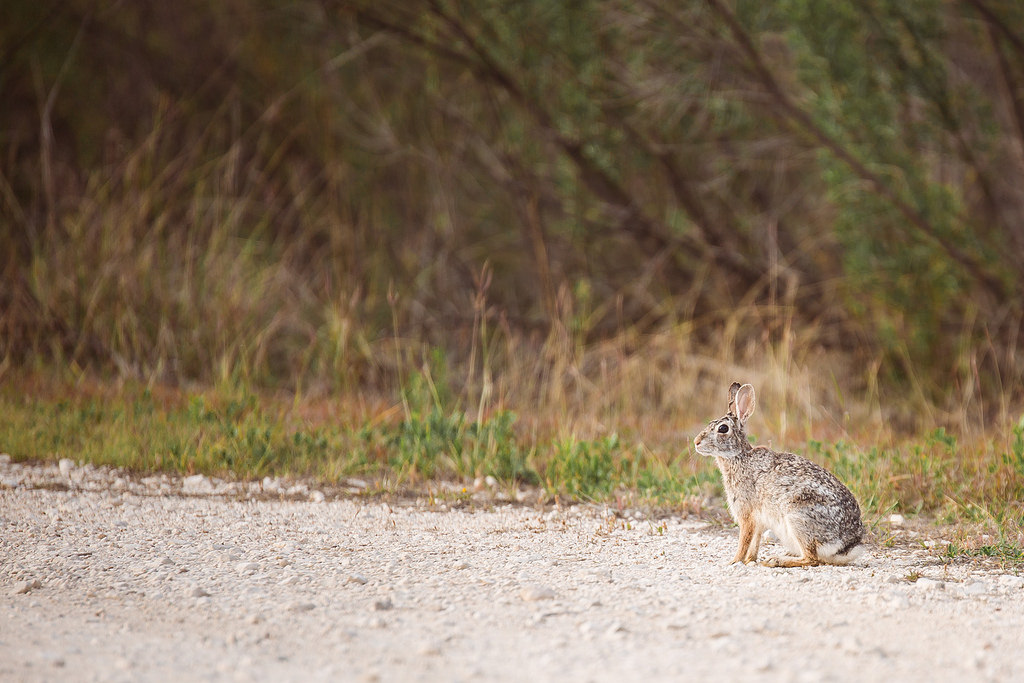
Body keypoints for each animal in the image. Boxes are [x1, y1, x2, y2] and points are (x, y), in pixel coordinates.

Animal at [692, 385, 868, 565]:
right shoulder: (759, 520)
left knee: (811, 558)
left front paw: (734, 561)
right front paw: (749, 560)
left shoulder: (746, 513)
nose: (696, 442)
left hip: (798, 518)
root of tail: (847, 546)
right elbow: (755, 541)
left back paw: (776, 560)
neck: (738, 457)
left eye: (722, 429)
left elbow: (744, 540)